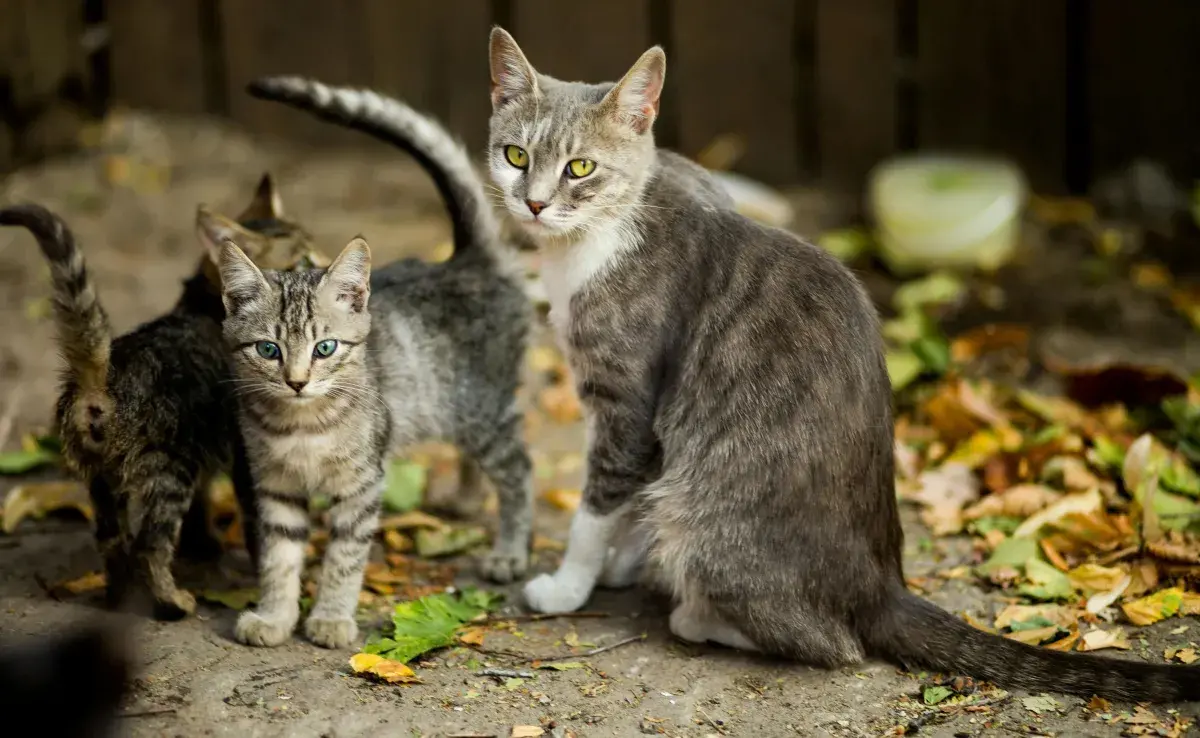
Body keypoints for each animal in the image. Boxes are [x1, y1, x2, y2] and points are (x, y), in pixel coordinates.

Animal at [212, 79, 535, 648]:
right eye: (268, 350)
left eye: (325, 348)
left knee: (519, 470)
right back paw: (465, 501)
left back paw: (509, 551)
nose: (297, 382)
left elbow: (344, 556)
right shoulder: (274, 486)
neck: (303, 424)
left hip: (484, 410)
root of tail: (467, 259)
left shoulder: (363, 483)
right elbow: (279, 557)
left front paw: (331, 617)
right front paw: (274, 616)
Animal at [484, 25, 1200, 700]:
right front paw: (621, 559)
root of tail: (882, 586)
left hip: (710, 527)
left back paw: (697, 614)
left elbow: (600, 500)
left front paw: (569, 584)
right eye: (516, 156)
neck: (596, 238)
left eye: (581, 168)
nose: (535, 203)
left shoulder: (628, 398)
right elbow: (634, 492)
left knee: (832, 644)